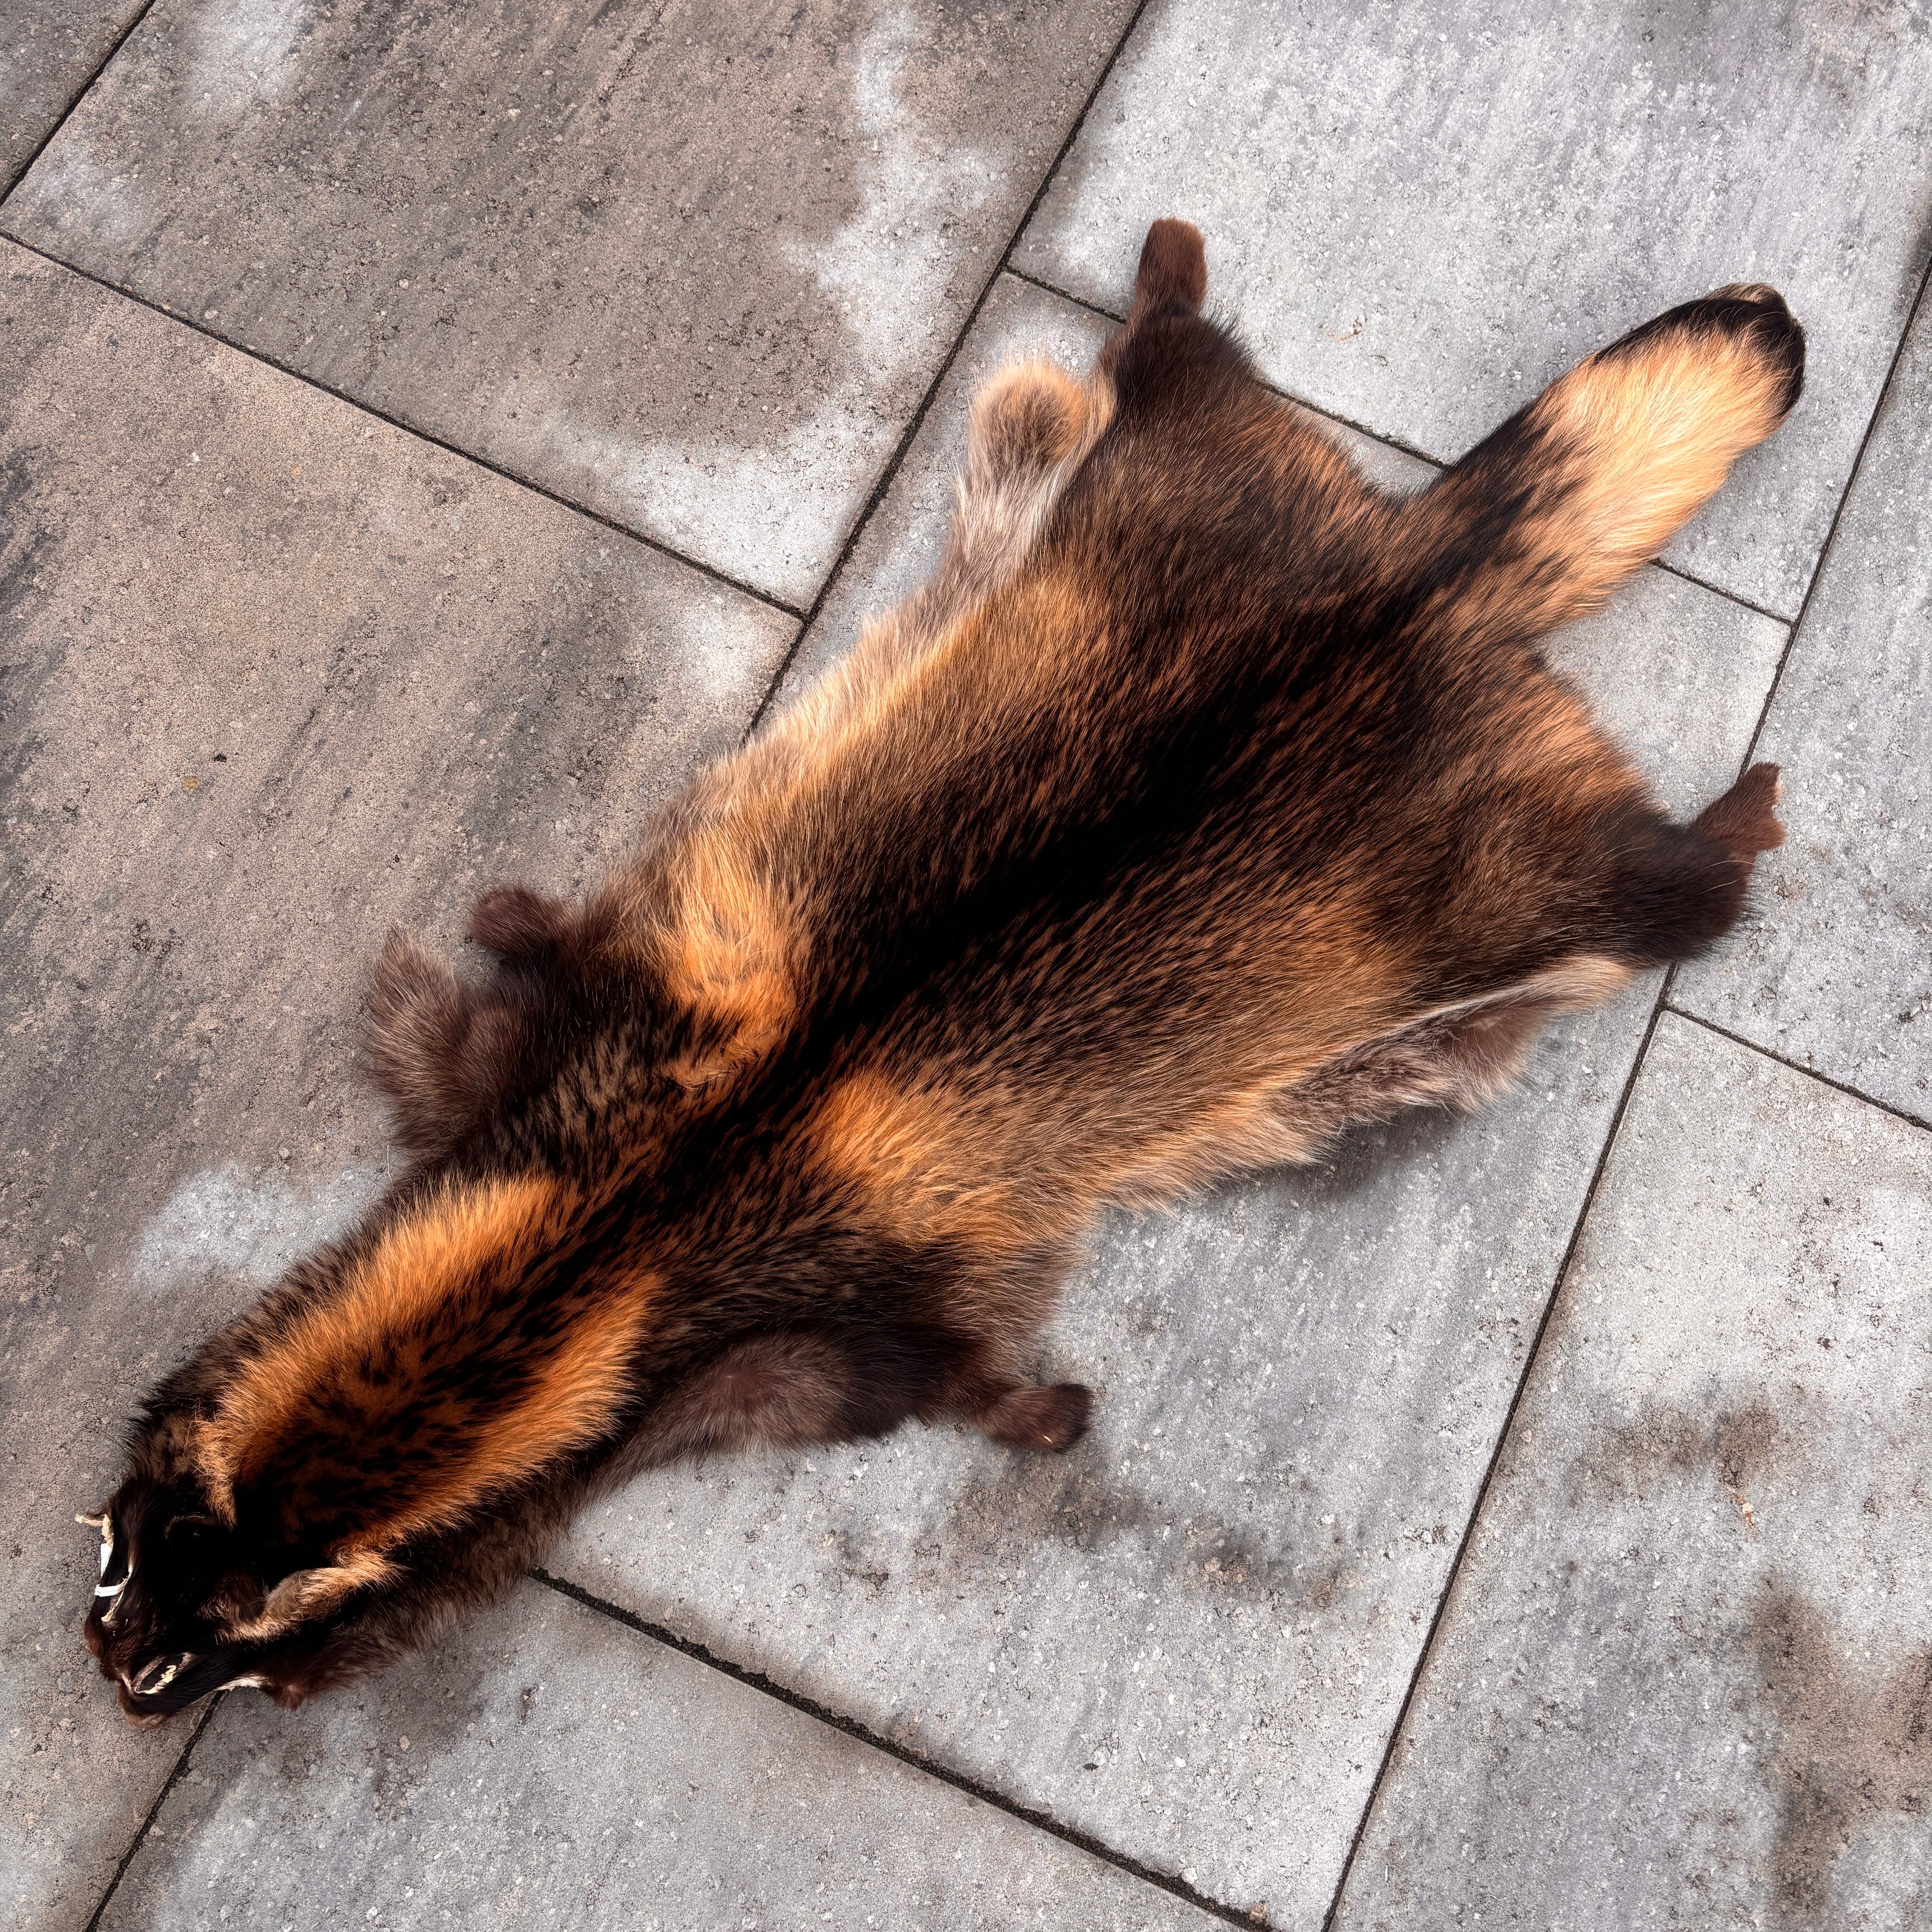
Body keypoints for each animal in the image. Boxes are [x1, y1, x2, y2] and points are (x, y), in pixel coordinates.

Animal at [84, 219, 1798, 1724]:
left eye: (230, 1656)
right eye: (119, 1554)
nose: (111, 1672)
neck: (603, 1239)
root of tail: (1424, 573)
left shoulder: (823, 1326)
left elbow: (942, 1374)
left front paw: (1030, 1409)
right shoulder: (567, 1049)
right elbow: (500, 987)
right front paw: (498, 921)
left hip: (1495, 874)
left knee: (1662, 899)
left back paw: (1731, 821)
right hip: (1178, 495)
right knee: (1178, 379)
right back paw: (1169, 286)